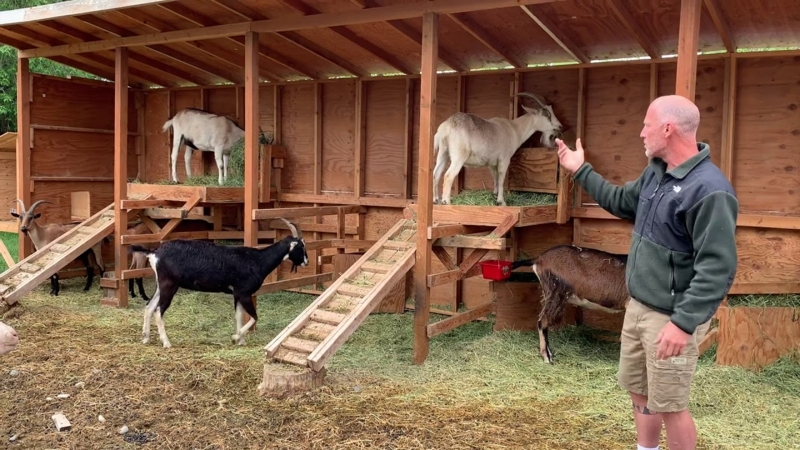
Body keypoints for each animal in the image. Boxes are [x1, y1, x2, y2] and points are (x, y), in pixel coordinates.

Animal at [129, 218, 309, 348]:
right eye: (301, 246)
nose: (306, 262)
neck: (258, 260)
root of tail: (154, 253)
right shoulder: (244, 292)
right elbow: (254, 317)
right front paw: (236, 337)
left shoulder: (237, 294)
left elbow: (238, 316)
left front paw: (240, 340)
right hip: (169, 284)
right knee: (159, 311)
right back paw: (166, 343)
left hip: (161, 284)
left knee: (149, 307)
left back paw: (146, 338)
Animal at [432, 92, 564, 206]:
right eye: (547, 115)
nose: (560, 126)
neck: (514, 129)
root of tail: (445, 128)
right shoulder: (504, 159)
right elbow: (501, 179)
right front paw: (502, 202)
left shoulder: (492, 163)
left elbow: (495, 178)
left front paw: (495, 196)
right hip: (459, 155)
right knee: (448, 175)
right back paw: (446, 202)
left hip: (443, 153)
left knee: (436, 173)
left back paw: (435, 200)